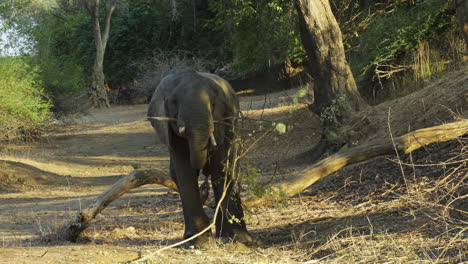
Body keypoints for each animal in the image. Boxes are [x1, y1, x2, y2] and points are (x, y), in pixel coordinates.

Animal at [148, 69, 254, 249]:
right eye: (174, 103)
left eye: (212, 104)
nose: (204, 186)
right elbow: (184, 170)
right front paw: (200, 243)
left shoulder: (223, 119)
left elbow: (221, 165)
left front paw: (235, 239)